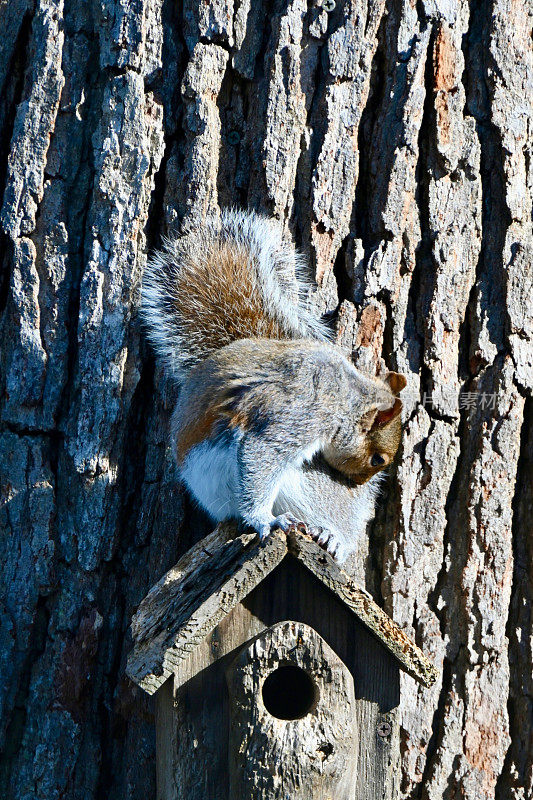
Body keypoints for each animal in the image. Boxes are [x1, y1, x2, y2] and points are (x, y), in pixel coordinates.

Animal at [141, 209, 404, 564]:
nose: (358, 481)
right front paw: (265, 520)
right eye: (378, 459)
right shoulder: (302, 412)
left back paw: (333, 537)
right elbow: (262, 451)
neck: (347, 398)